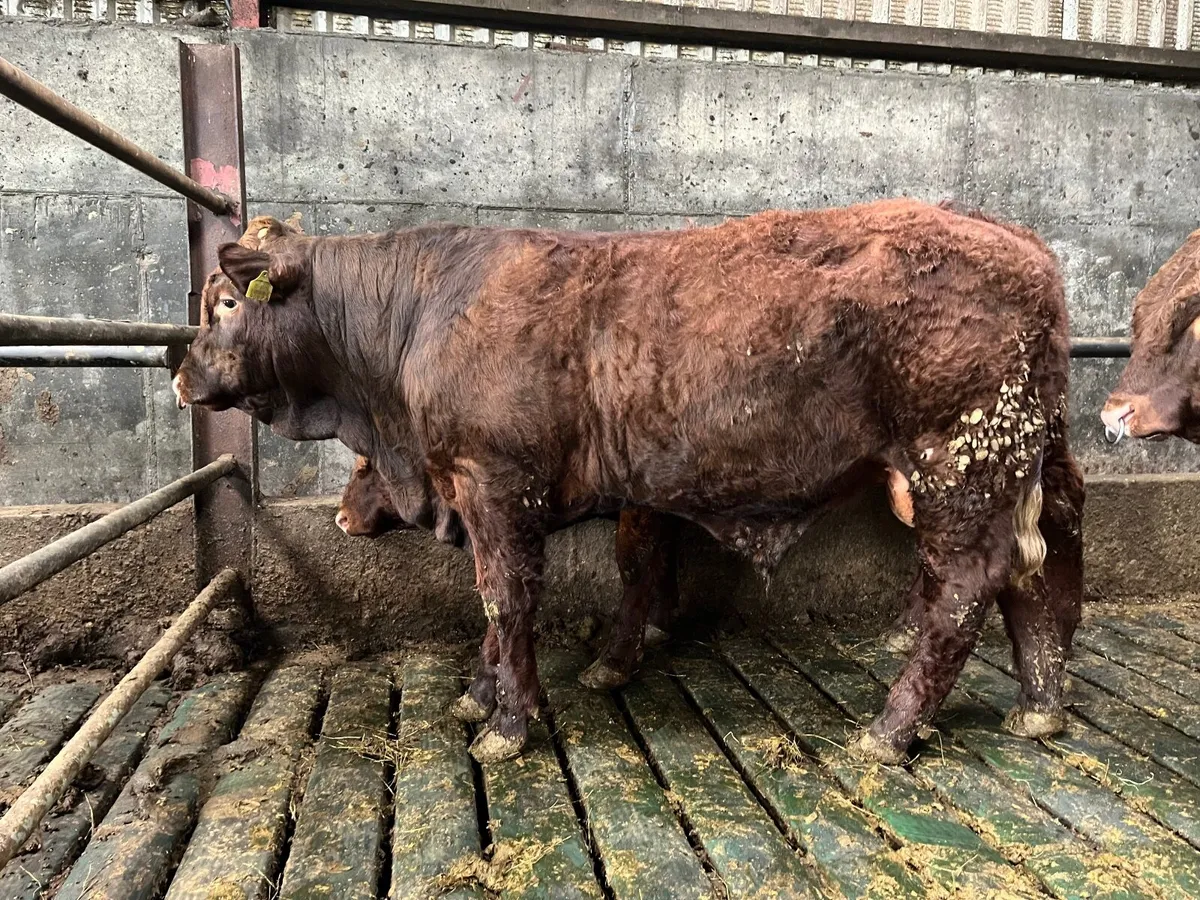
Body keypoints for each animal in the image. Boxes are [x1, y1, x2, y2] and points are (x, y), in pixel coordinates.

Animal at [173, 199, 1083, 764]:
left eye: (225, 303)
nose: (180, 376)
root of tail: (1018, 241)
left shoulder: (498, 487)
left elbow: (507, 600)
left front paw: (507, 720)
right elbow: (558, 591)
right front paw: (489, 693)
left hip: (958, 467)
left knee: (963, 591)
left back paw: (891, 730)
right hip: (1026, 464)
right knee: (1041, 569)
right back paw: (1040, 705)